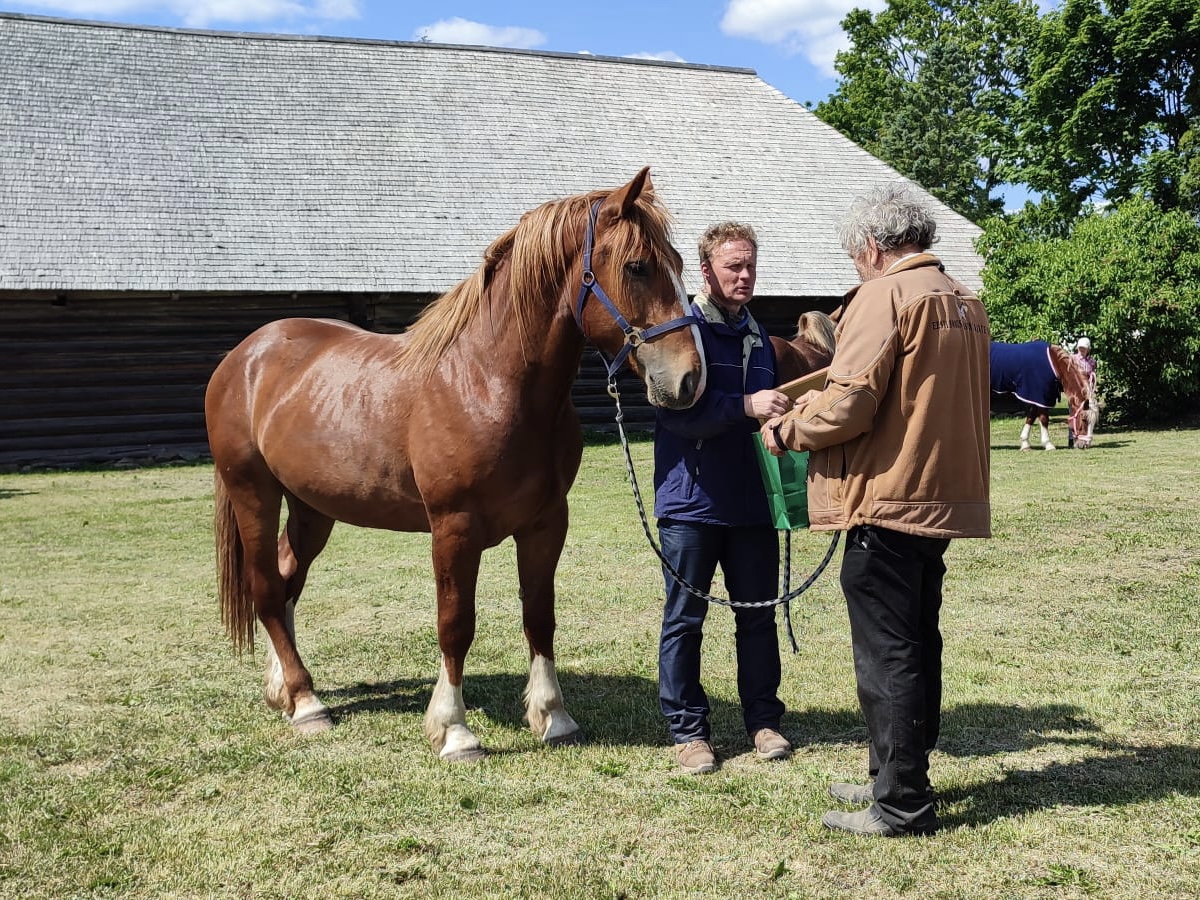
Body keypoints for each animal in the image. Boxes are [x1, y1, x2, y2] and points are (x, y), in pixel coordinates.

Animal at [205, 169, 700, 763]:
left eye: (678, 261)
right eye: (637, 266)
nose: (689, 379)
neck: (487, 381)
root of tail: (245, 355)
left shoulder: (546, 523)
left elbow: (540, 615)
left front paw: (553, 716)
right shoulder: (454, 528)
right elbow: (455, 624)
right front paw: (455, 730)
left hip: (312, 507)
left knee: (285, 582)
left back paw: (284, 687)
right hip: (253, 493)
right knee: (264, 588)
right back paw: (306, 703)